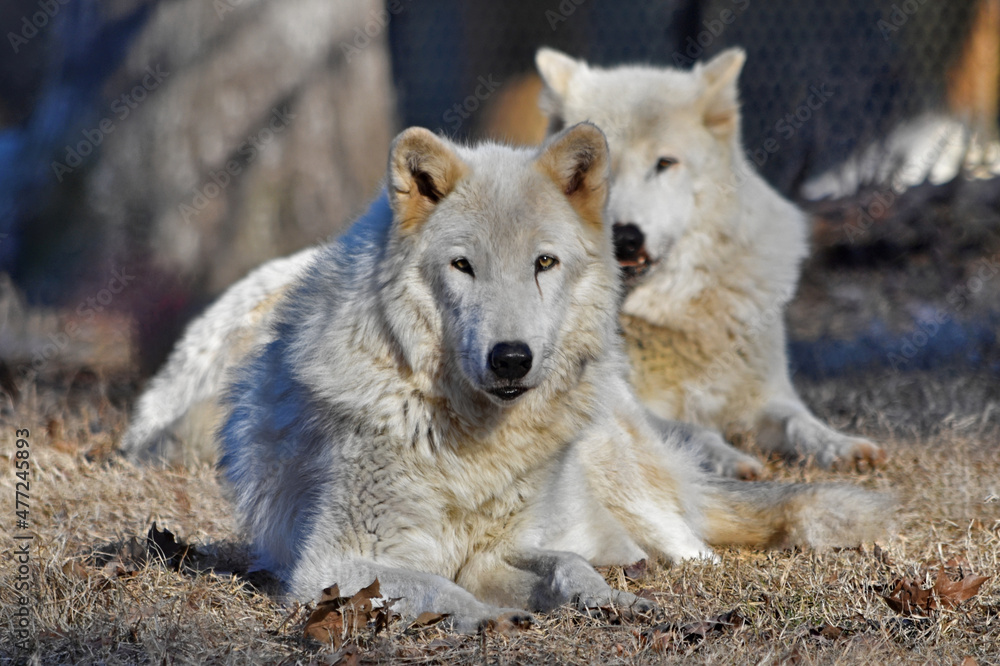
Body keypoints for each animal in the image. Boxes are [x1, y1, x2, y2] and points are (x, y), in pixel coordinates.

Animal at [211, 123, 888, 630]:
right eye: (463, 266)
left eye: (544, 262)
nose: (511, 357)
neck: (471, 441)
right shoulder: (333, 566)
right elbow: (435, 586)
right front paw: (489, 617)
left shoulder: (499, 551)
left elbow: (567, 566)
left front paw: (613, 602)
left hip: (621, 467)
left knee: (693, 547)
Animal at [535, 48, 886, 477]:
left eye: (664, 163)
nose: (626, 237)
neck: (678, 316)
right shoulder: (632, 407)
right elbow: (692, 431)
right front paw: (731, 461)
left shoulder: (766, 395)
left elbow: (799, 420)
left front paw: (842, 445)